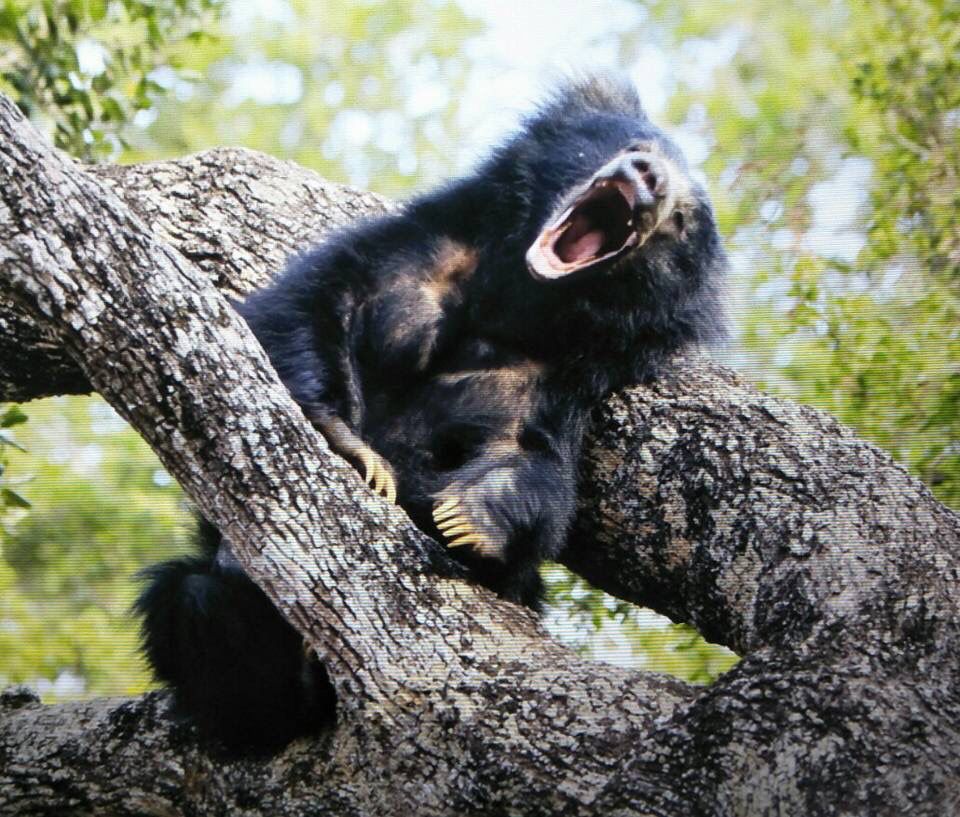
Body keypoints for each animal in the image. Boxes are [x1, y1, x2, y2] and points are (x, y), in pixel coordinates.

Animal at [137, 76, 728, 752]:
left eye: (680, 220)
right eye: (636, 148)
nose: (647, 177)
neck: (518, 297)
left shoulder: (549, 382)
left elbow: (532, 462)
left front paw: (466, 517)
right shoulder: (409, 250)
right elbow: (301, 309)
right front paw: (358, 454)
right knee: (194, 600)